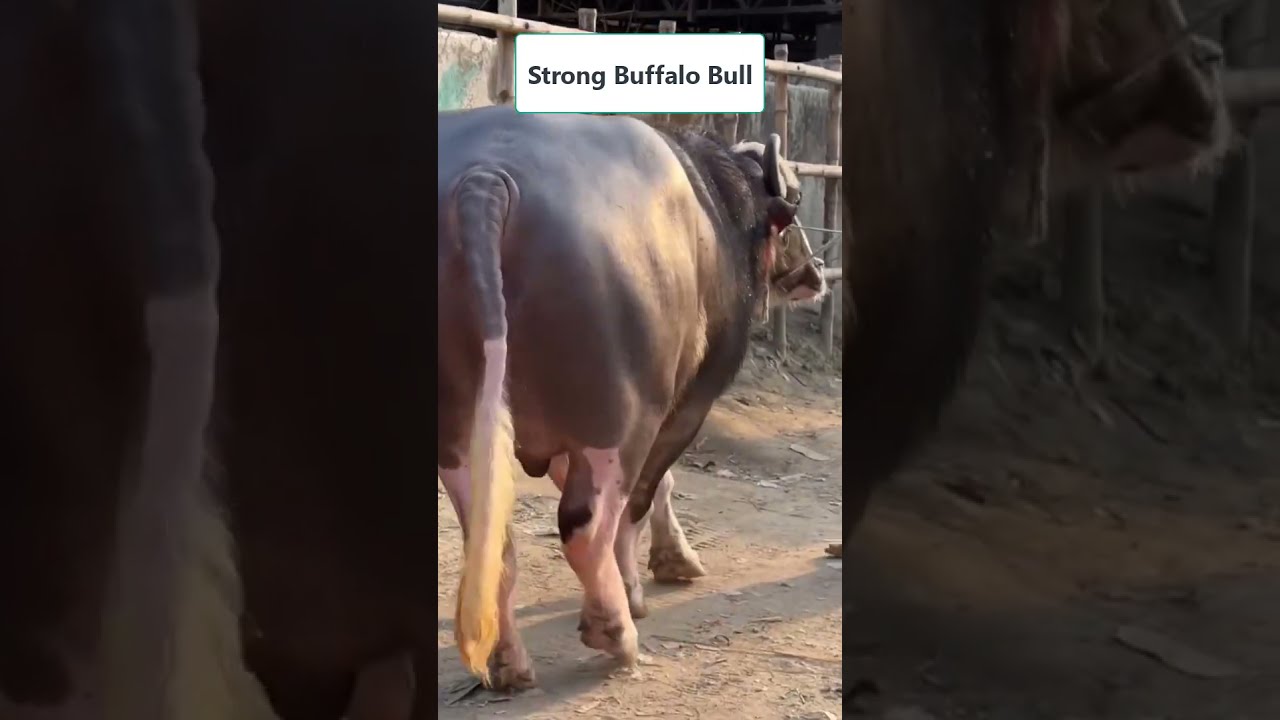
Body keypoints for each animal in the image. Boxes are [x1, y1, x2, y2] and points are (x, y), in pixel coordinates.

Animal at [435, 106, 826, 688]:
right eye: (795, 198)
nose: (815, 273)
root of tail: (486, 177)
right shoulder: (689, 403)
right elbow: (651, 490)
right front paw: (658, 571)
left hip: (462, 424)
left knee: (490, 534)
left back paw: (507, 662)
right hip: (621, 415)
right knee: (586, 523)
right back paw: (615, 633)